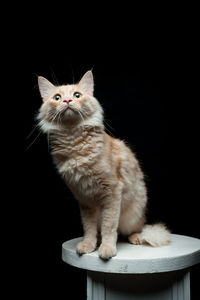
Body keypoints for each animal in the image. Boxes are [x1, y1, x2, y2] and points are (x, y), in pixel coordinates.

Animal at [36, 71, 170, 260]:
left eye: (77, 95)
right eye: (57, 97)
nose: (67, 101)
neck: (73, 141)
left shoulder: (112, 192)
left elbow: (109, 226)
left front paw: (107, 248)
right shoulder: (84, 198)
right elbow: (89, 228)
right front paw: (89, 245)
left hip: (134, 213)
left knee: (132, 230)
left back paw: (135, 237)